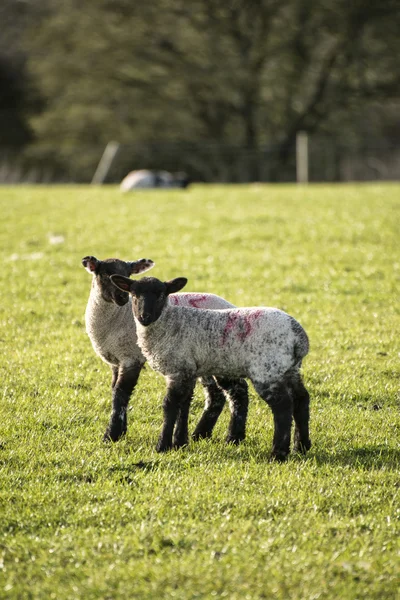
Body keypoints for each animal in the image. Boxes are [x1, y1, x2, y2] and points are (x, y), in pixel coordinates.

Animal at [83, 255, 248, 442]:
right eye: (104, 274)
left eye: (128, 273)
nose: (122, 298)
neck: (116, 318)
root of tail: (234, 307)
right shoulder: (116, 361)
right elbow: (115, 390)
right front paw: (120, 431)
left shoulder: (131, 357)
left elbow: (121, 392)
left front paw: (112, 434)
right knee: (216, 394)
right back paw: (200, 434)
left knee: (238, 390)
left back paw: (234, 437)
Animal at [110, 274, 312, 462]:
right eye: (134, 294)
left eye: (161, 294)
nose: (144, 317)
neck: (169, 323)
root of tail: (299, 337)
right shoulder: (187, 370)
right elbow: (183, 405)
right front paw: (179, 443)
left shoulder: (178, 369)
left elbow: (169, 405)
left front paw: (162, 446)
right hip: (289, 369)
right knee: (301, 399)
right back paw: (301, 446)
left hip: (267, 370)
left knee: (283, 407)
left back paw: (278, 454)